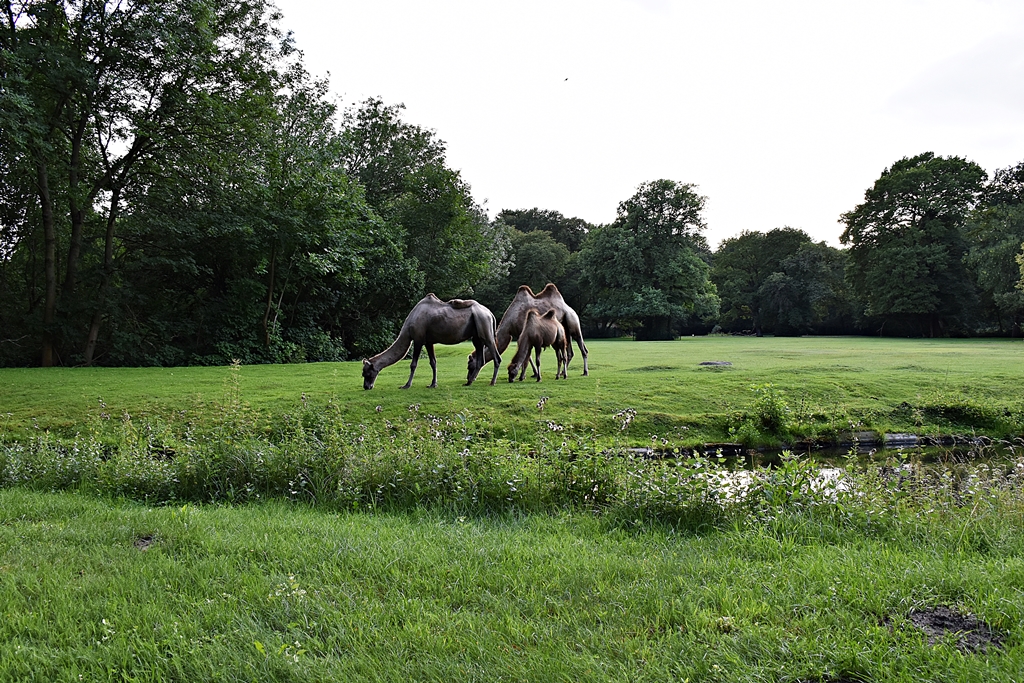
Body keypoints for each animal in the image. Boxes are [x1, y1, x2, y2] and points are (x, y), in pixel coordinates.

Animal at [362, 294, 501, 390]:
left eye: (367, 373)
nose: (366, 387)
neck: (408, 326)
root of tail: (490, 313)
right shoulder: (428, 342)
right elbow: (433, 362)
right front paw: (433, 384)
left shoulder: (418, 339)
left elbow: (413, 364)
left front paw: (406, 385)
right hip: (477, 336)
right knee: (480, 358)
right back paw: (469, 382)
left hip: (484, 326)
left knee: (496, 357)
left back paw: (492, 382)